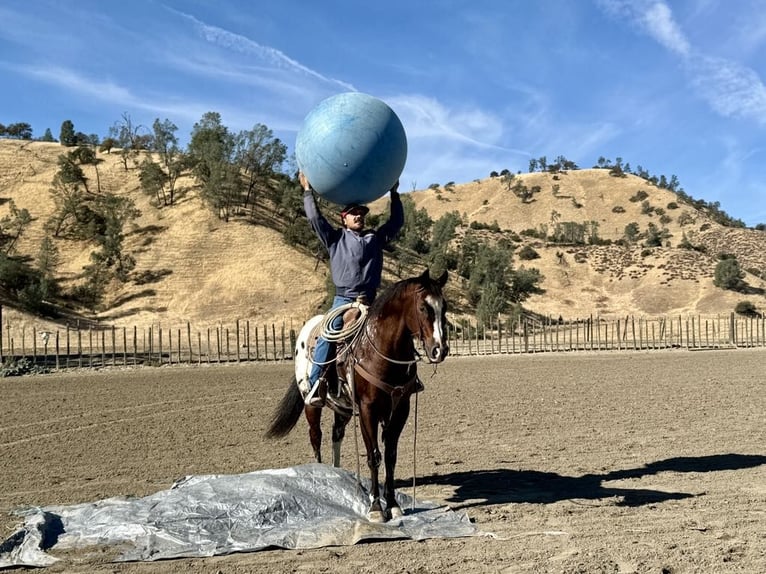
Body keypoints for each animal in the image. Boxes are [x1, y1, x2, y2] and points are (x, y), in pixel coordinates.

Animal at [265, 268, 449, 522]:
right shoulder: (367, 410)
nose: (440, 349)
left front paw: (393, 504)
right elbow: (374, 455)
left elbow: (390, 456)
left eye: (445, 307)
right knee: (316, 437)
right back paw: (319, 475)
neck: (379, 351)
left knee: (336, 434)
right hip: (311, 403)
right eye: (423, 307)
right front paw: (376, 508)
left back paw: (338, 474)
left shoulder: (400, 409)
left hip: (343, 408)